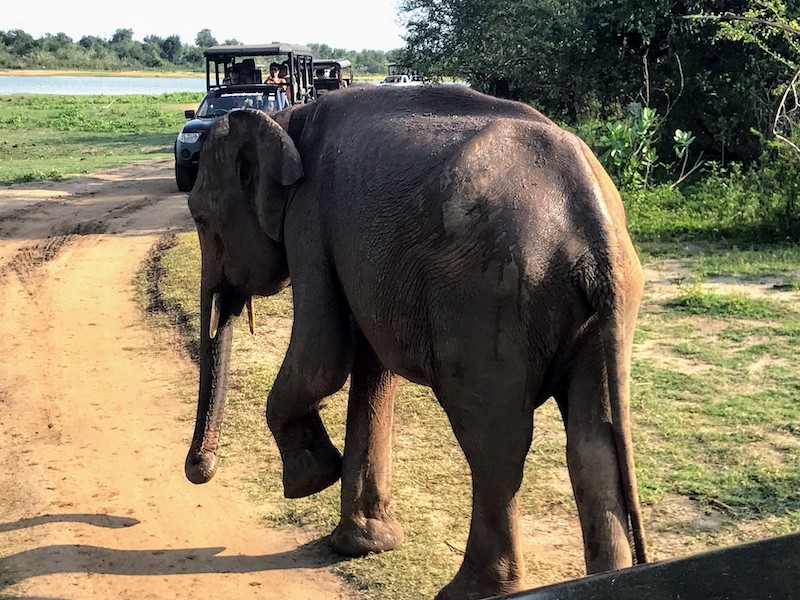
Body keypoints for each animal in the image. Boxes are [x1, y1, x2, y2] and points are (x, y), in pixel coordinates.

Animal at [184, 84, 648, 600]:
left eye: (199, 217)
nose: (199, 469)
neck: (288, 118)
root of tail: (593, 220)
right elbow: (370, 367)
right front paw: (361, 544)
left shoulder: (309, 218)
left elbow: (323, 354)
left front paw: (310, 479)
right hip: (602, 310)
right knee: (592, 444)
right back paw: (606, 580)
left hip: (489, 299)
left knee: (493, 442)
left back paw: (471, 590)